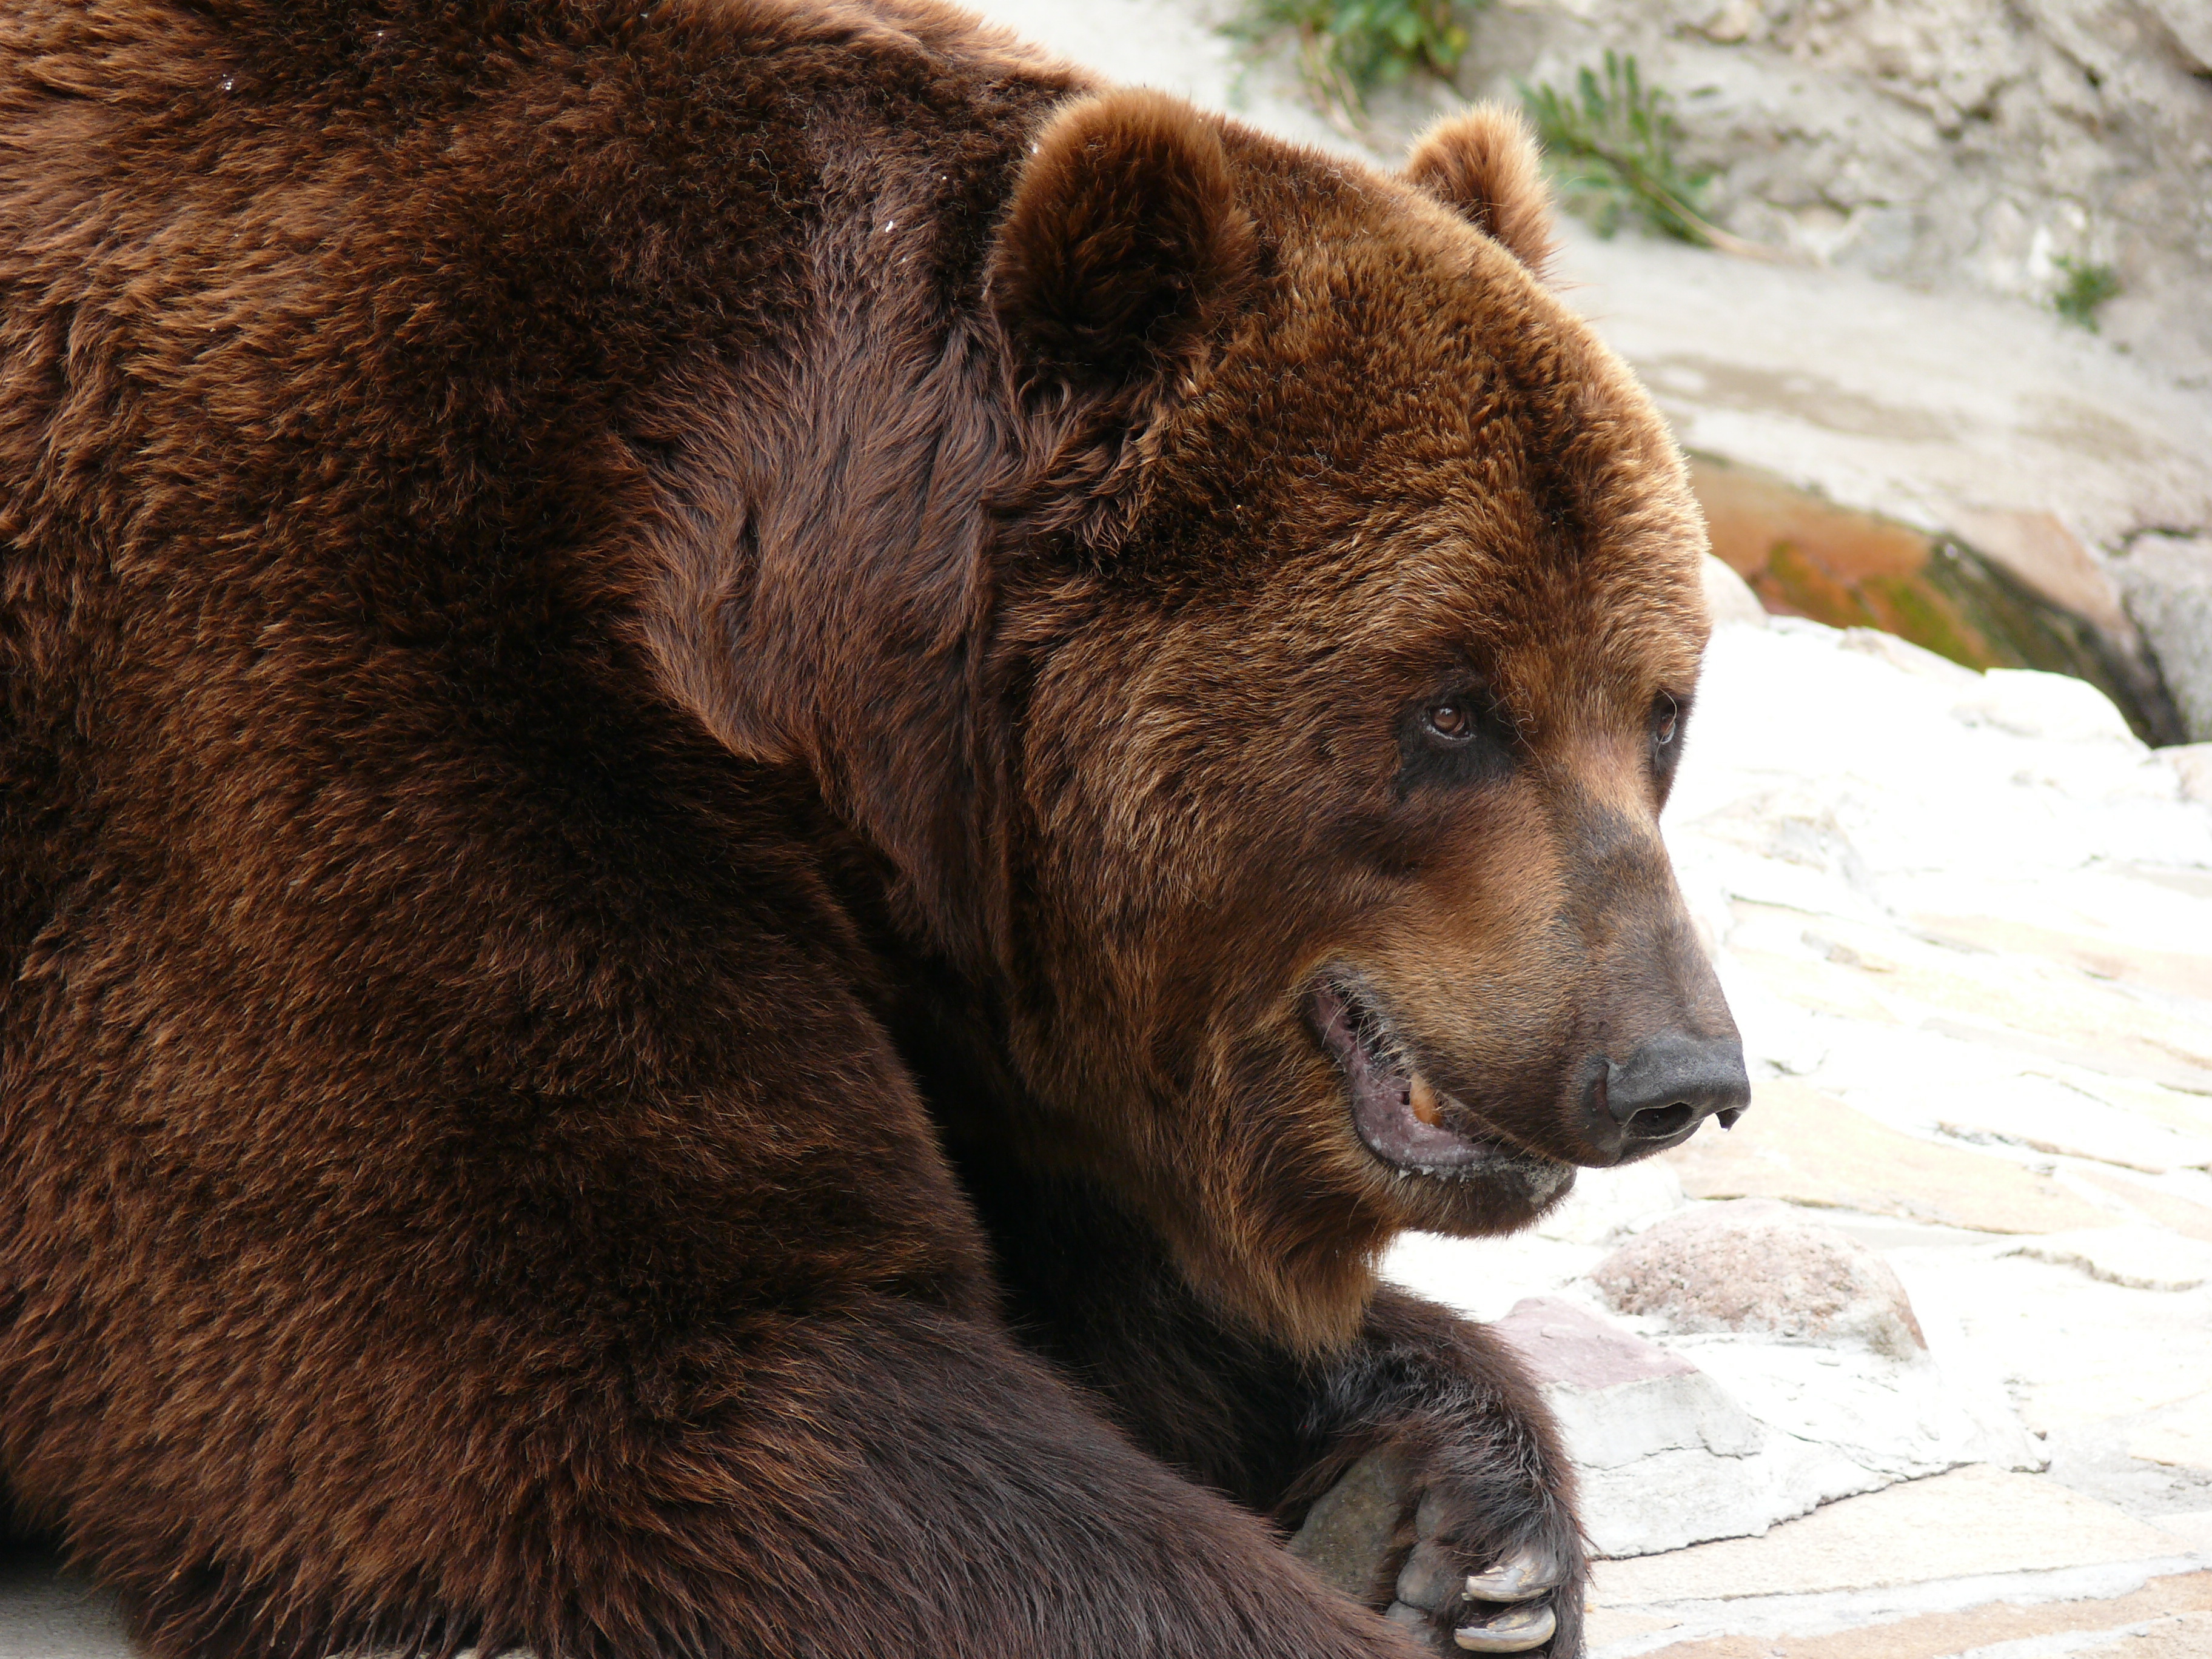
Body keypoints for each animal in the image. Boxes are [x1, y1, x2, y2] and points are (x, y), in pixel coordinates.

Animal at [4, 0, 1743, 1654]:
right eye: (1453, 709)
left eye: (1660, 708)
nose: (1673, 1070)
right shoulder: (337, 702)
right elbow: (648, 1370)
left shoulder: (963, 996)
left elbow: (1125, 1298)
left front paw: (1466, 1520)